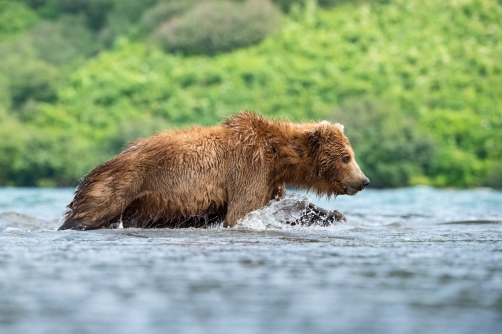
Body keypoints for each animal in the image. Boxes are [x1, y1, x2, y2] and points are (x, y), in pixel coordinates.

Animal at [58, 111, 368, 231]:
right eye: (346, 157)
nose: (363, 180)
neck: (278, 157)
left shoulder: (270, 182)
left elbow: (281, 207)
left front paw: (333, 215)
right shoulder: (248, 169)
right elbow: (242, 212)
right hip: (121, 184)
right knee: (88, 213)